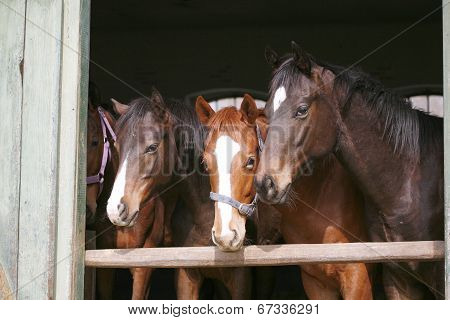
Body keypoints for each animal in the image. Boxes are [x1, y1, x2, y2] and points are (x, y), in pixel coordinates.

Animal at [107, 88, 251, 300]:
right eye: (117, 148)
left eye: (152, 147)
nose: (115, 209)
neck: (205, 215)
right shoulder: (184, 274)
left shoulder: (241, 278)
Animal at [255, 42, 444, 300]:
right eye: (266, 112)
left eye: (302, 109)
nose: (265, 183)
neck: (408, 185)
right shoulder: (398, 280)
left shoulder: (358, 274)